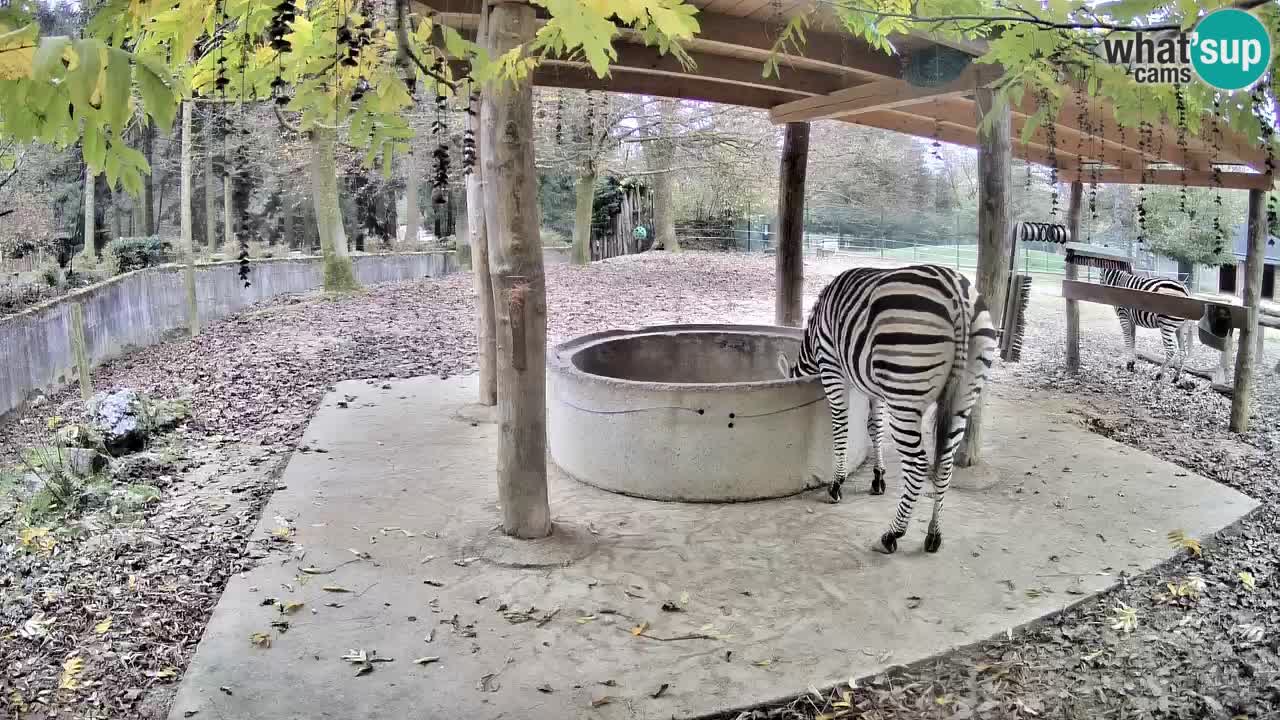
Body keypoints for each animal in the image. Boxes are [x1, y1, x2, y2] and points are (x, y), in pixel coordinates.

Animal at [778, 263, 998, 556]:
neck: (814, 336)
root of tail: (956, 293)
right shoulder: (875, 387)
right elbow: (874, 428)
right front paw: (878, 478)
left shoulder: (831, 365)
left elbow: (841, 425)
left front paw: (837, 483)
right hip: (964, 394)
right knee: (945, 463)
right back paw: (934, 533)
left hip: (904, 392)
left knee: (917, 465)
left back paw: (892, 534)